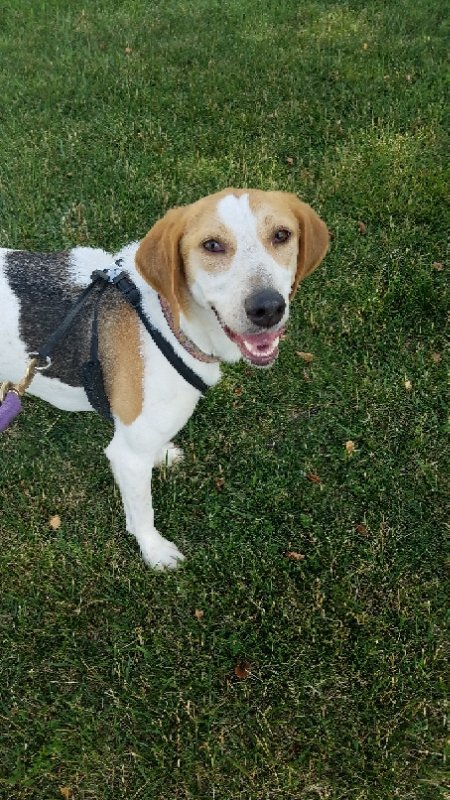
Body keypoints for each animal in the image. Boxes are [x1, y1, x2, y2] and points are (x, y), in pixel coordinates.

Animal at [0, 188, 330, 568]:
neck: (167, 319)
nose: (267, 308)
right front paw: (154, 550)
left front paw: (163, 455)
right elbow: (143, 512)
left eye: (281, 235)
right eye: (212, 245)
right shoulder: (127, 456)